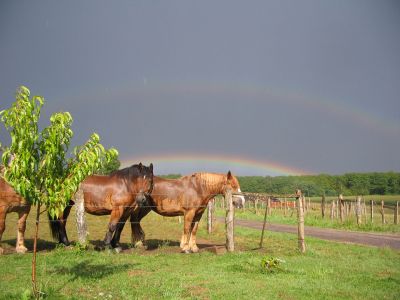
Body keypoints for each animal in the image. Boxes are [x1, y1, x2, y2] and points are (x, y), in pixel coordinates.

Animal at [111, 171, 244, 253]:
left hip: (145, 209)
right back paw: (138, 243)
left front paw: (193, 247)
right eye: (233, 185)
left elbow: (193, 230)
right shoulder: (189, 213)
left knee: (135, 222)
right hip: (138, 208)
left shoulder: (198, 214)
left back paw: (140, 243)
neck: (198, 188)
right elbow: (186, 228)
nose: (242, 201)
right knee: (133, 221)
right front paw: (185, 248)